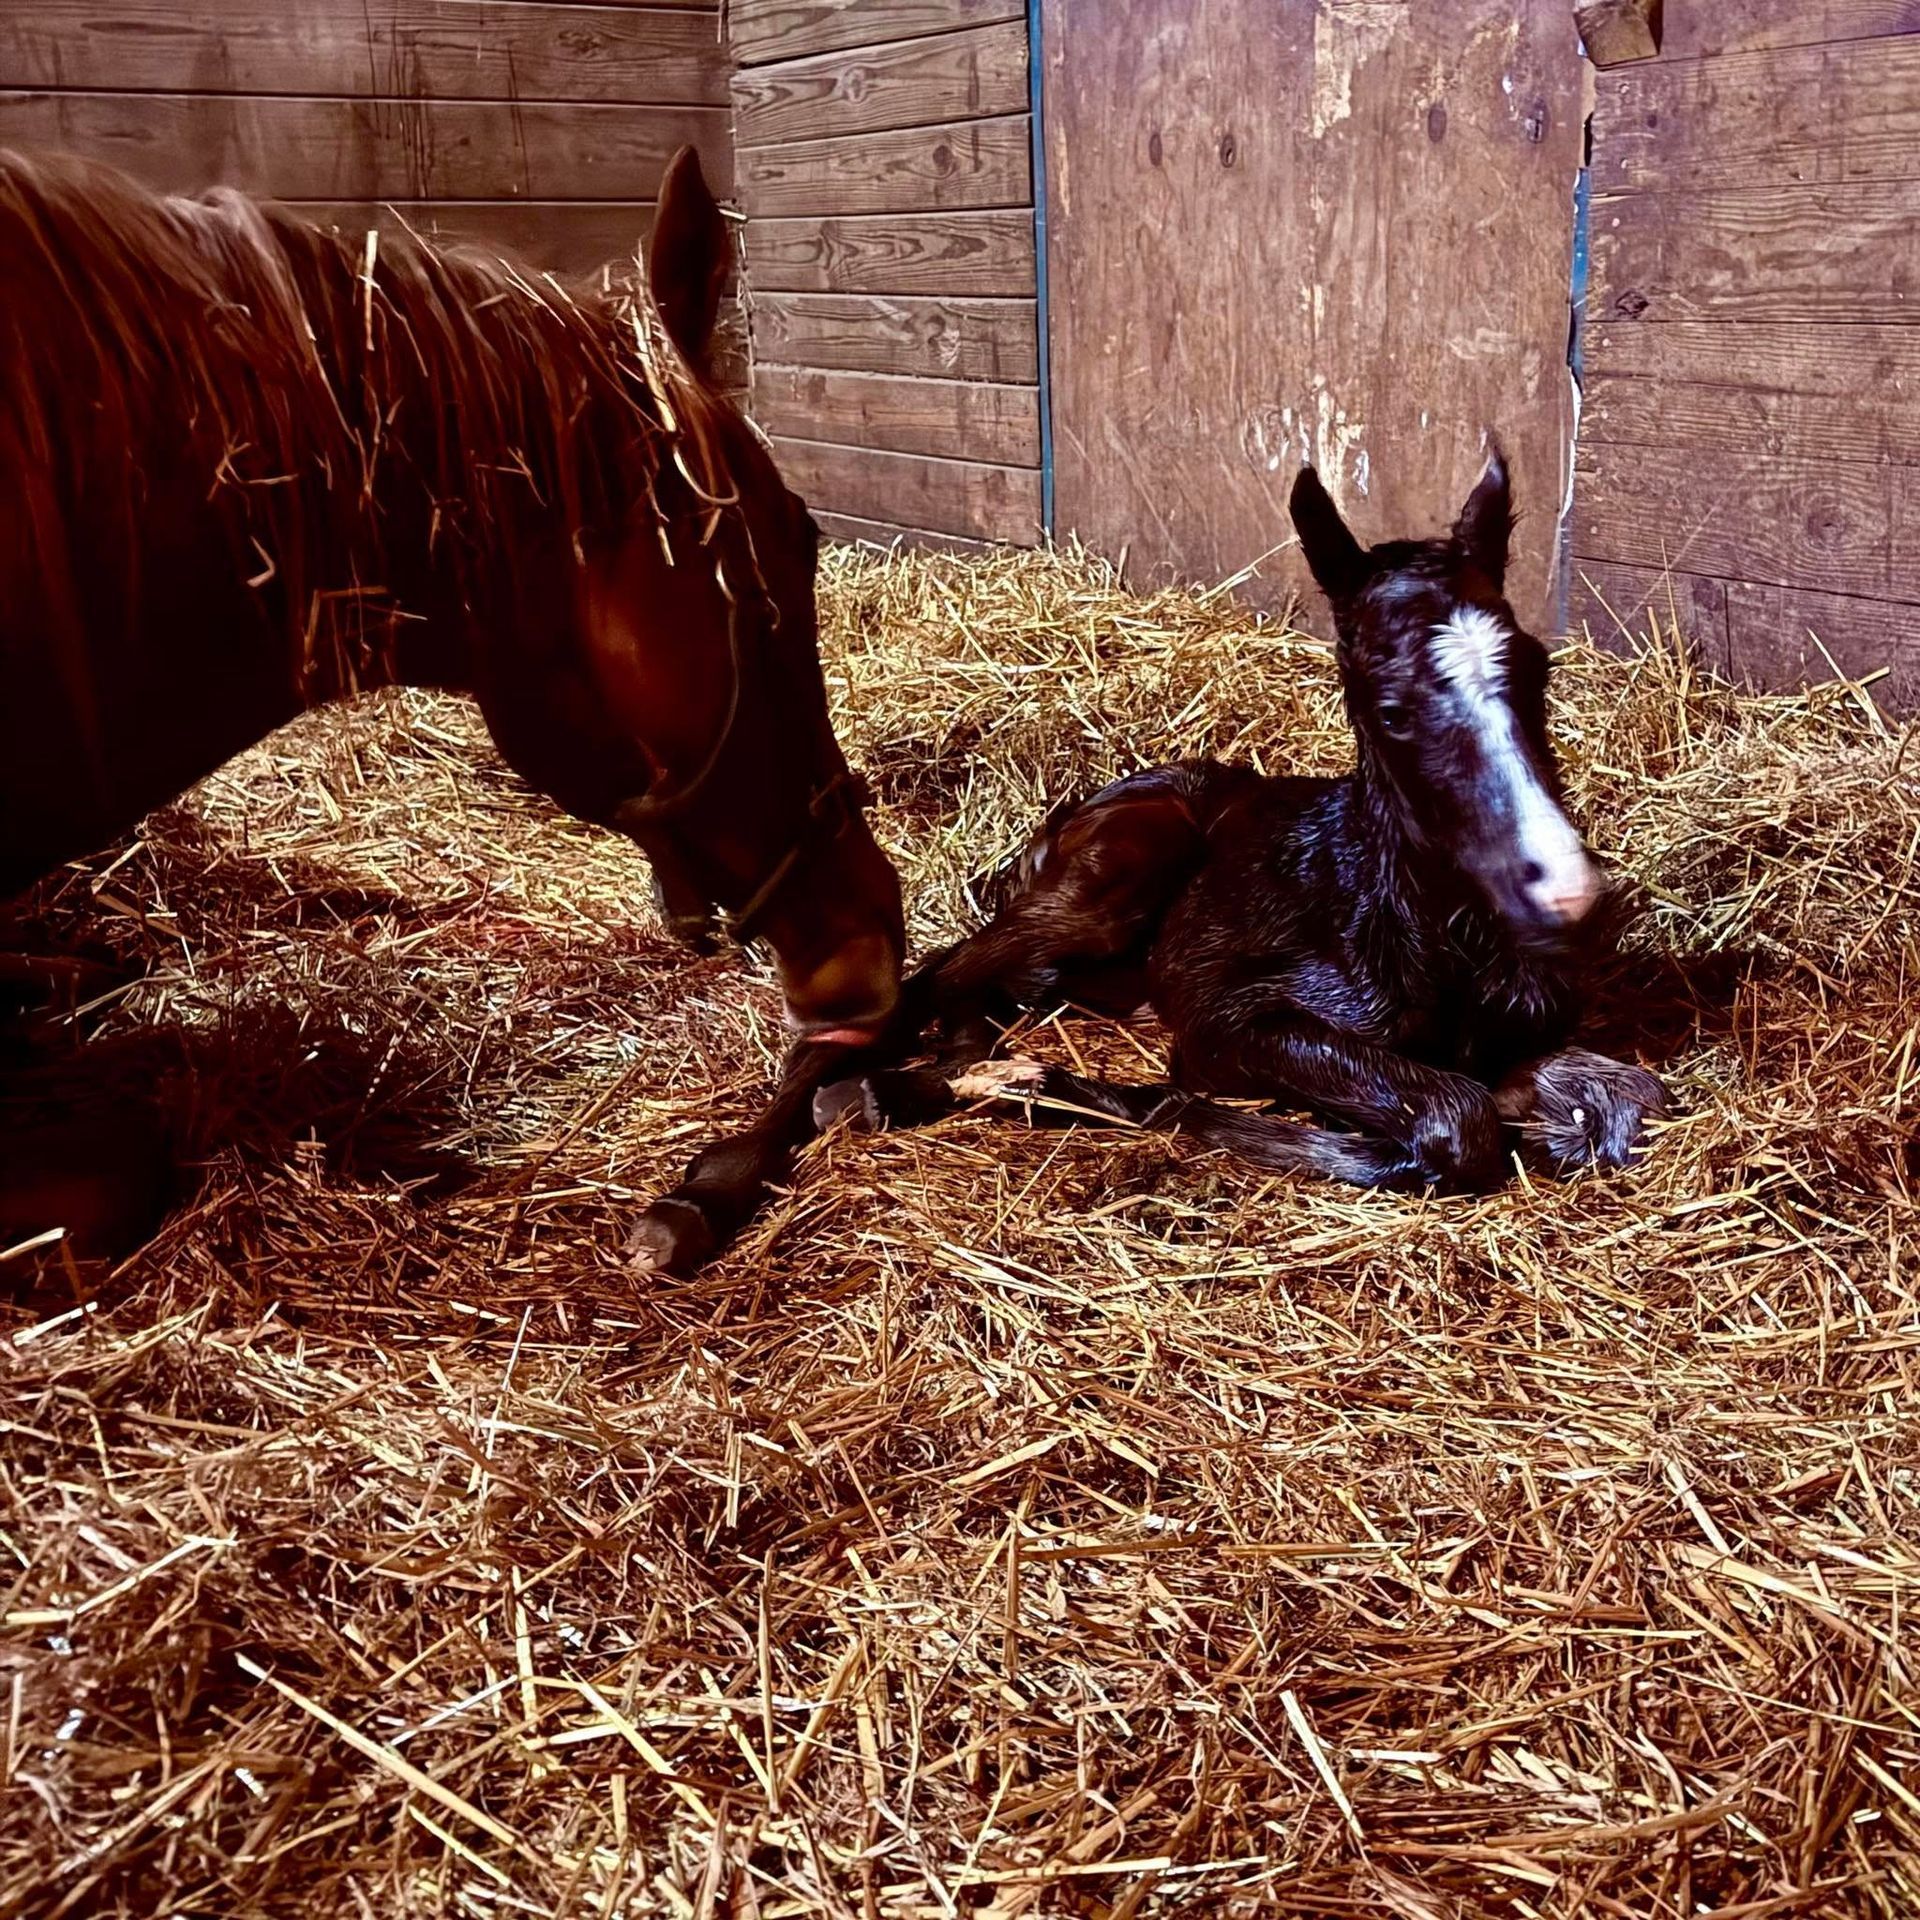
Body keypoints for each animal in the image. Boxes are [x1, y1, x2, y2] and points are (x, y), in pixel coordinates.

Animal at [817, 447, 1667, 1189]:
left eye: (1537, 670)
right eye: (1391, 709)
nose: (1567, 894)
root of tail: (1063, 819)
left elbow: (1623, 1099)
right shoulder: (1227, 1017)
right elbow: (1458, 1117)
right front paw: (1043, 1083)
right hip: (1117, 875)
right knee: (942, 970)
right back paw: (884, 1087)